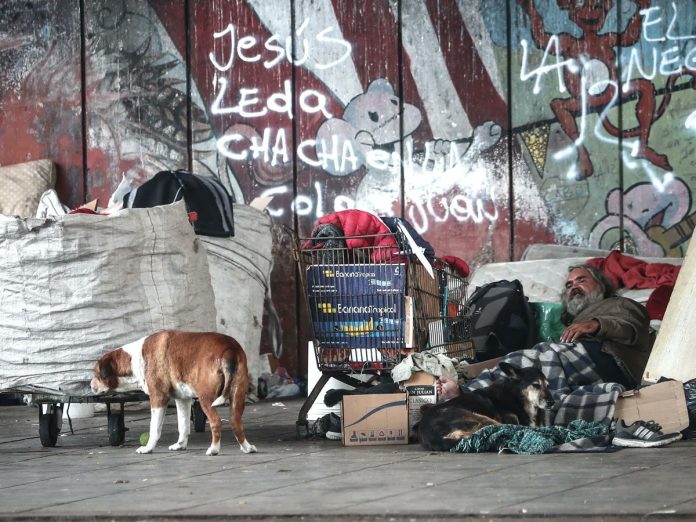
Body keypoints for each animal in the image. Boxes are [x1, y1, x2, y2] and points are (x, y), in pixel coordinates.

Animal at [91, 332, 256, 452]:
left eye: (96, 374)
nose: (90, 386)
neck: (134, 359)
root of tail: (229, 349)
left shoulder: (158, 398)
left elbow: (154, 428)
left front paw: (147, 448)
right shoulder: (183, 399)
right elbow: (183, 425)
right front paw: (180, 445)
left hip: (206, 399)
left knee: (216, 422)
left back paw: (214, 449)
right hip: (237, 396)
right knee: (236, 422)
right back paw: (247, 448)